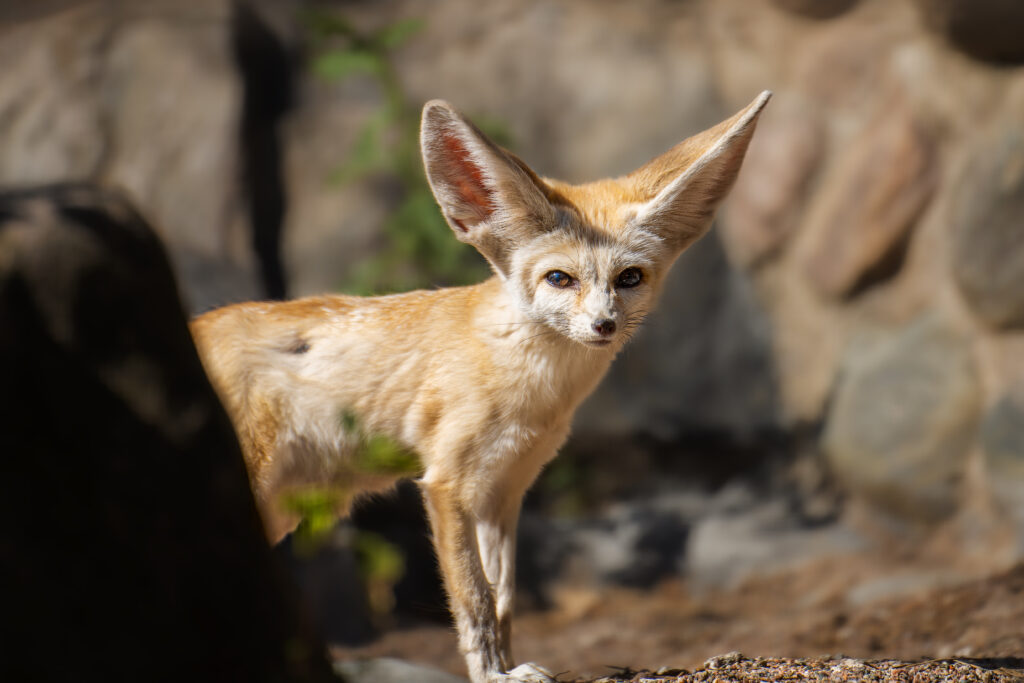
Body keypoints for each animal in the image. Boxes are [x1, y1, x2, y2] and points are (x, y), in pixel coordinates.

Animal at [192, 92, 770, 683]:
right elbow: (473, 599)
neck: (535, 390)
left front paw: (511, 665)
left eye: (629, 278)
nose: (604, 325)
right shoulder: (446, 485)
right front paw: (494, 674)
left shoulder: (504, 491)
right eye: (559, 279)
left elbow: (504, 599)